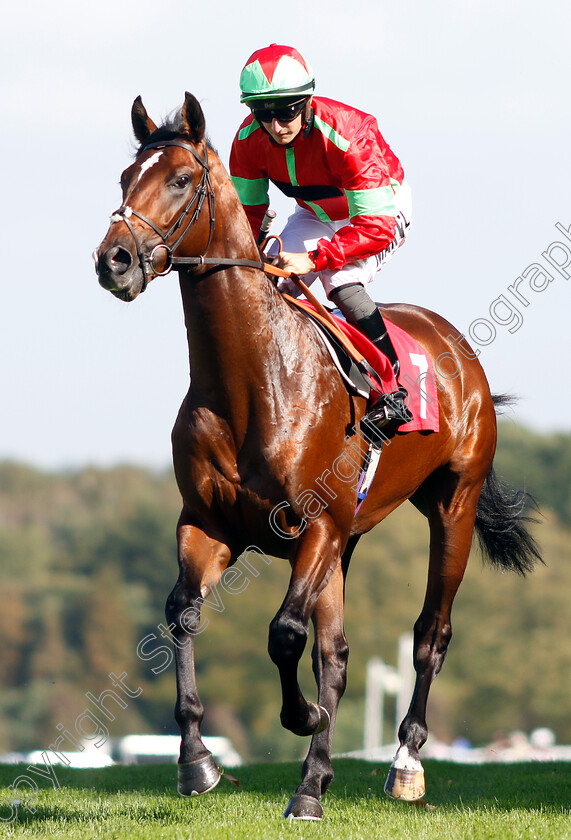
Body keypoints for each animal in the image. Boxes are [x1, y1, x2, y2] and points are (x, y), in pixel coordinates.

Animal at [94, 93, 540, 820]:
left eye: (182, 180)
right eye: (126, 179)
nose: (115, 260)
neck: (252, 382)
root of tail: (455, 346)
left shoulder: (317, 527)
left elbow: (283, 634)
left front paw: (300, 717)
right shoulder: (209, 524)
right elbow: (183, 615)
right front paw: (197, 762)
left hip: (453, 503)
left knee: (430, 634)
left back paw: (404, 762)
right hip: (350, 540)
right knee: (337, 653)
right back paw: (312, 784)